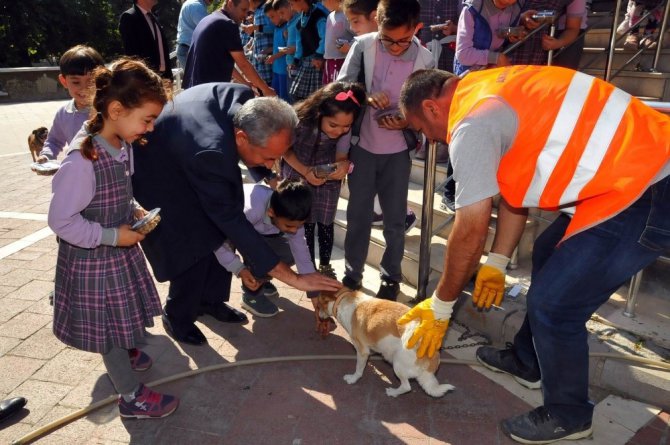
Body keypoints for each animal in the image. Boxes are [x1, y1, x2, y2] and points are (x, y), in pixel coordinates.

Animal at [318, 288, 456, 398]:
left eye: (318, 305)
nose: (319, 317)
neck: (343, 299)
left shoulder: (362, 351)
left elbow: (358, 369)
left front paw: (353, 379)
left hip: (398, 364)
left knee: (406, 387)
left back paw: (393, 393)